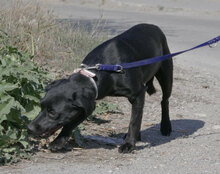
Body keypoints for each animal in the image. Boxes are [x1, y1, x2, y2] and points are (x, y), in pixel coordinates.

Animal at [27, 23, 173, 153]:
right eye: (40, 106)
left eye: (52, 113)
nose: (29, 128)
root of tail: (154, 27)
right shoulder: (86, 105)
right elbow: (70, 123)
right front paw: (59, 141)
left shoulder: (138, 94)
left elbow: (134, 122)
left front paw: (129, 144)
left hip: (166, 76)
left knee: (164, 101)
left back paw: (165, 126)